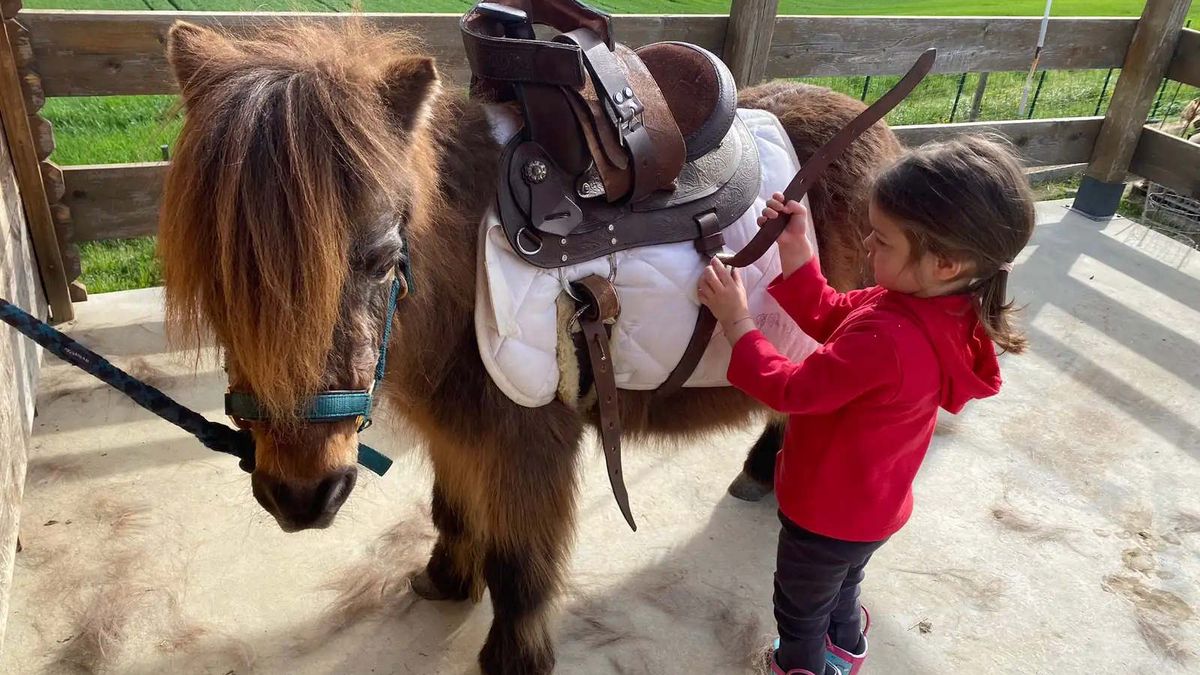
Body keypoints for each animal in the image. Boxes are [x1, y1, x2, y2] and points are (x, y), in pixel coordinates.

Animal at [156, 19, 901, 674]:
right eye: (219, 275)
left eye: (382, 257)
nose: (302, 495)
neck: (460, 274)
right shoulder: (458, 431)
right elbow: (452, 511)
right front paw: (445, 578)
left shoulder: (527, 441)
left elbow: (518, 566)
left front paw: (513, 657)